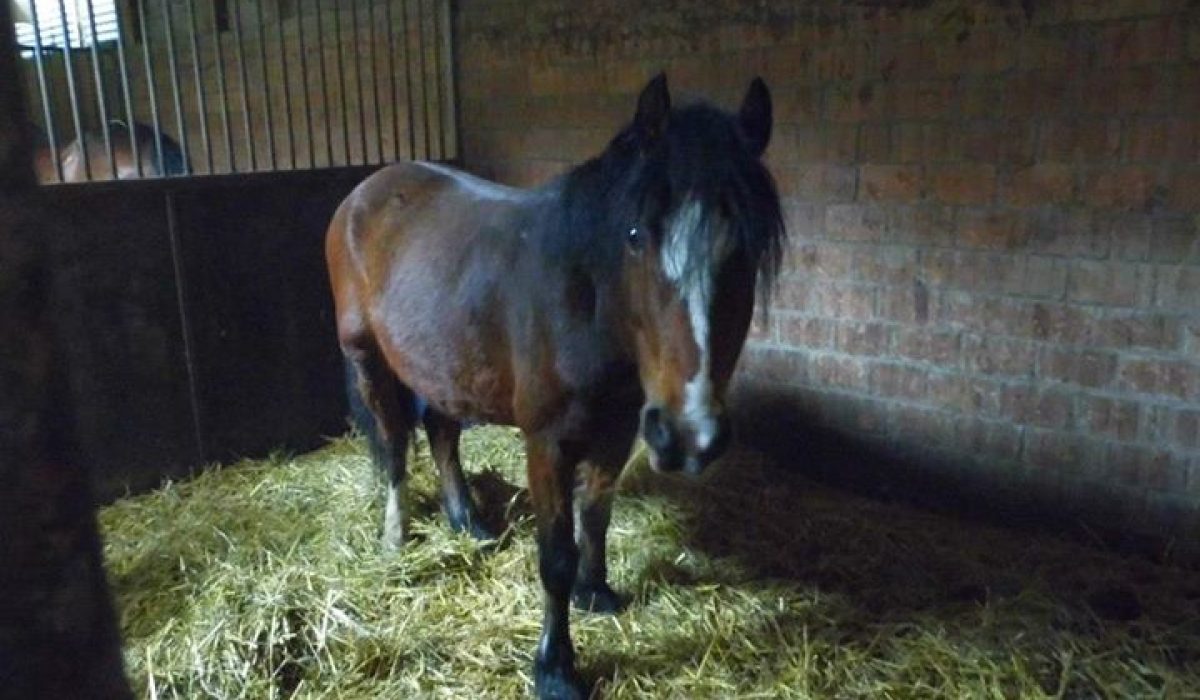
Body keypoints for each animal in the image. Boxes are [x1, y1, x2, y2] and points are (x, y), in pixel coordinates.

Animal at [325, 74, 784, 699]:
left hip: (444, 366)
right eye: (635, 235)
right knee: (395, 443)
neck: (586, 301)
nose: (689, 435)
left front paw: (598, 592)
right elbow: (557, 556)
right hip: (368, 359)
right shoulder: (547, 443)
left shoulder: (617, 431)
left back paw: (469, 522)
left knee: (442, 432)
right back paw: (396, 537)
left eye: (748, 248)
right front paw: (555, 667)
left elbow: (596, 518)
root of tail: (364, 192)